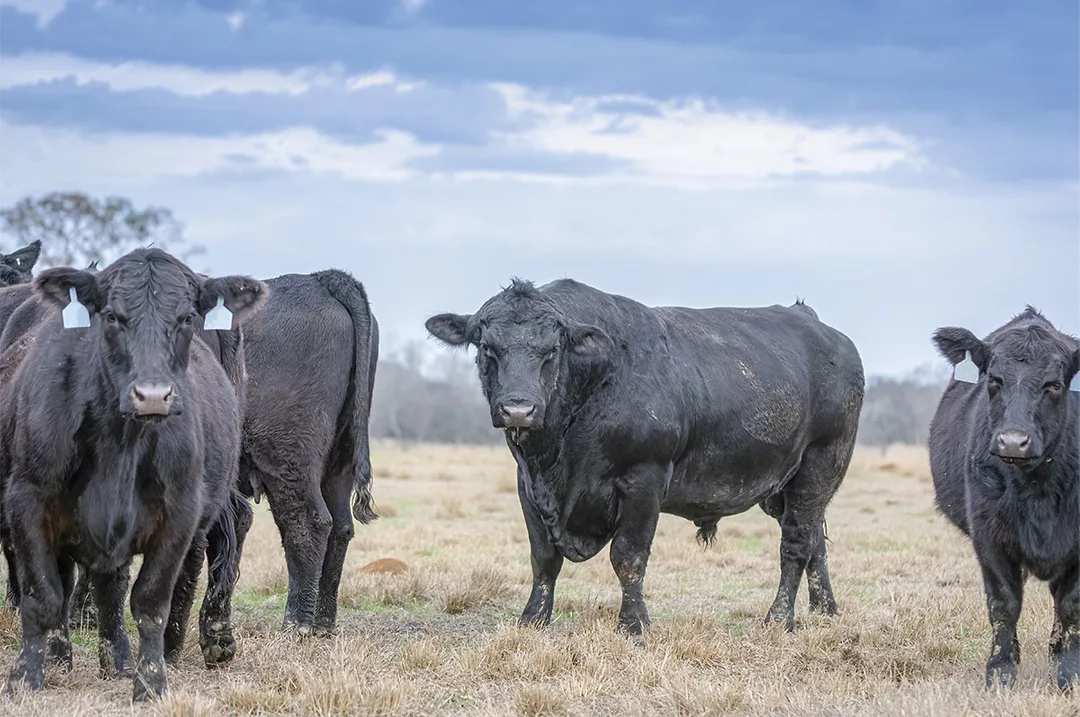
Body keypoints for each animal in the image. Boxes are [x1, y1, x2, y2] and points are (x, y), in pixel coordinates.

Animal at [0, 248, 267, 700]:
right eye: (111, 316)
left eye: (187, 317)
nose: (153, 395)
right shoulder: (27, 502)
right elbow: (43, 596)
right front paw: (26, 678)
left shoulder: (179, 514)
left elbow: (150, 602)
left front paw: (151, 684)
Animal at [425, 278, 864, 642]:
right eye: (487, 347)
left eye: (551, 350)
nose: (518, 409)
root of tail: (810, 319)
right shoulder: (528, 484)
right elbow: (543, 558)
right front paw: (532, 620)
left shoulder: (644, 480)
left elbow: (629, 557)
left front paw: (633, 625)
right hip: (783, 486)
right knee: (814, 540)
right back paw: (825, 611)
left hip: (821, 464)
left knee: (796, 543)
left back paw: (779, 618)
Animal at [928, 306, 1079, 692]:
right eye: (994, 380)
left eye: (1054, 384)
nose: (1013, 441)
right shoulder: (989, 536)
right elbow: (1004, 604)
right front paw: (1000, 671)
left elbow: (1071, 605)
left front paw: (1069, 673)